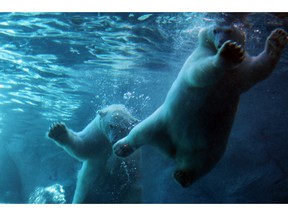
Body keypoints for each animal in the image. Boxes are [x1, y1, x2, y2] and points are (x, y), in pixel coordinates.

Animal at [113, 24, 288, 187]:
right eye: (215, 30)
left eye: (230, 30)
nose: (222, 43)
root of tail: (173, 150)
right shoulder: (198, 58)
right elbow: (199, 72)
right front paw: (229, 53)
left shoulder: (240, 72)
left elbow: (258, 69)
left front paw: (278, 38)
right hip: (162, 121)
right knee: (140, 132)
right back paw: (121, 147)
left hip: (211, 143)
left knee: (204, 162)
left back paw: (183, 176)